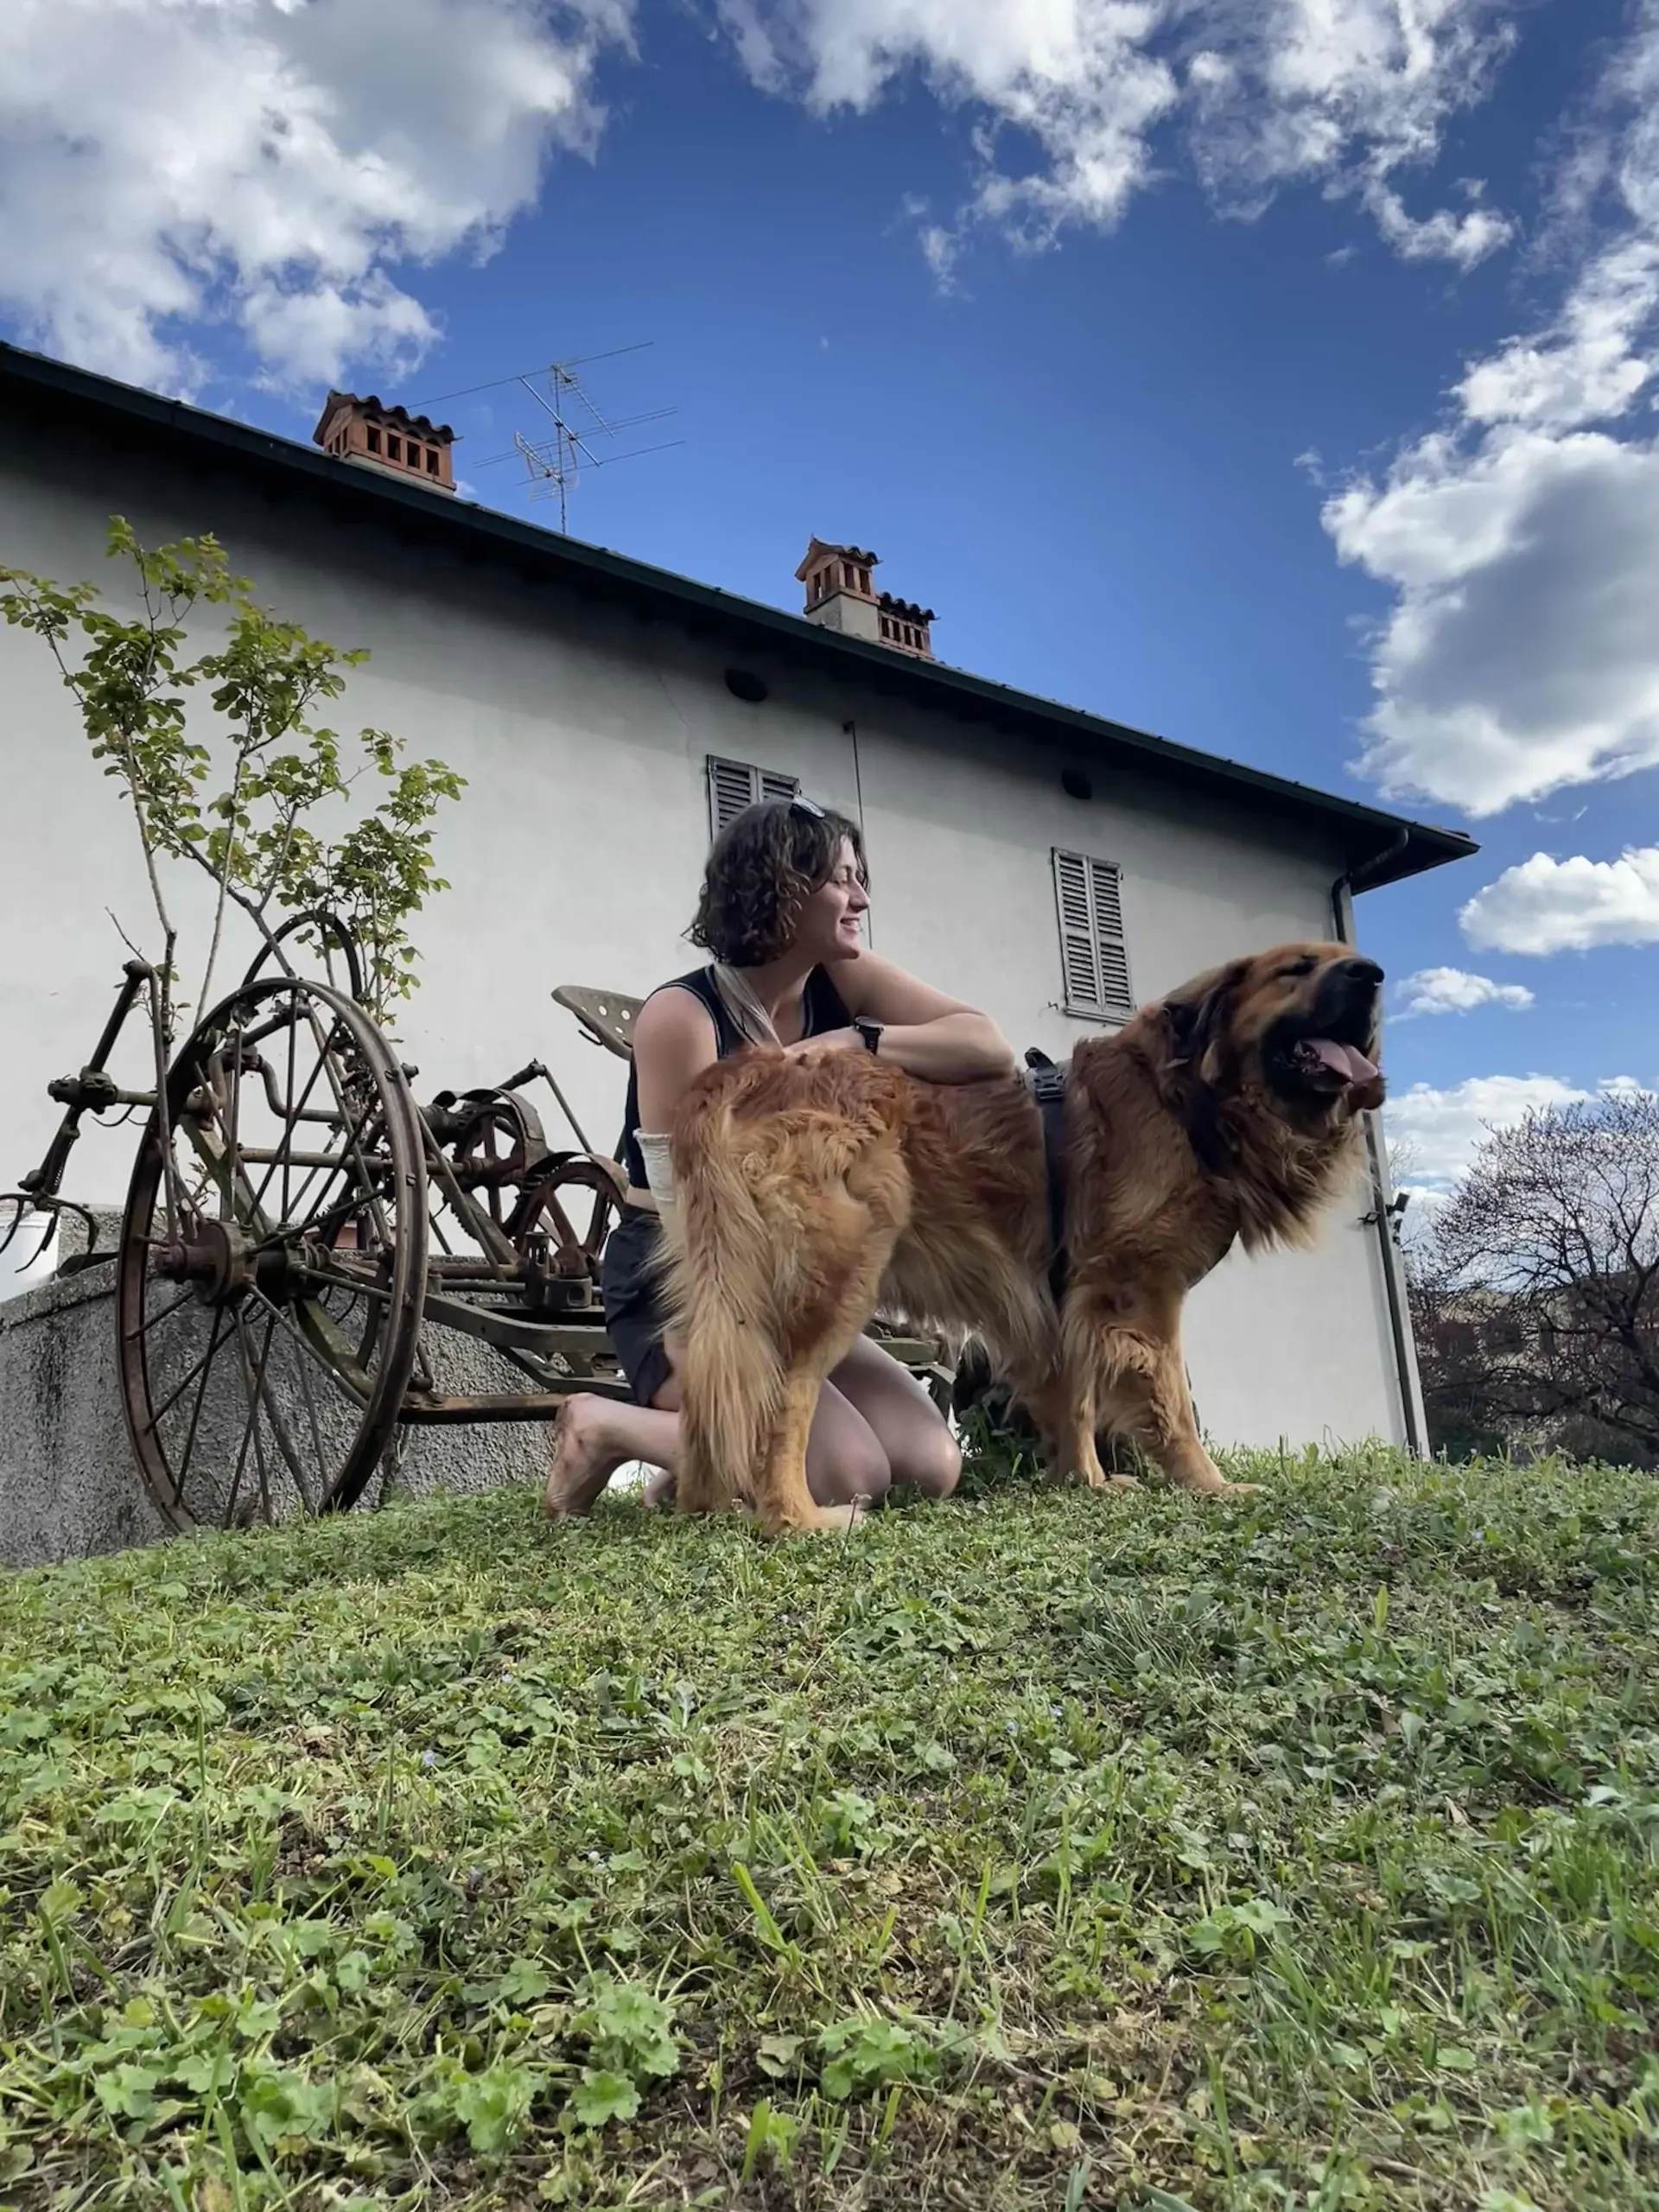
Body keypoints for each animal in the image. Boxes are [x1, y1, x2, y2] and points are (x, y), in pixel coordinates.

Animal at [660, 942, 1385, 1533]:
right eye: (1295, 969)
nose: (1372, 973)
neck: (1182, 1095)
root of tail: (756, 1070)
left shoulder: (1073, 1296)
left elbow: (1078, 1395)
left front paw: (1084, 1481)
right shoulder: (1138, 1290)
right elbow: (1171, 1405)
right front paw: (1209, 1486)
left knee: (709, 1390)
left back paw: (706, 1504)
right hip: (836, 1278)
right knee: (781, 1401)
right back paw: (796, 1518)